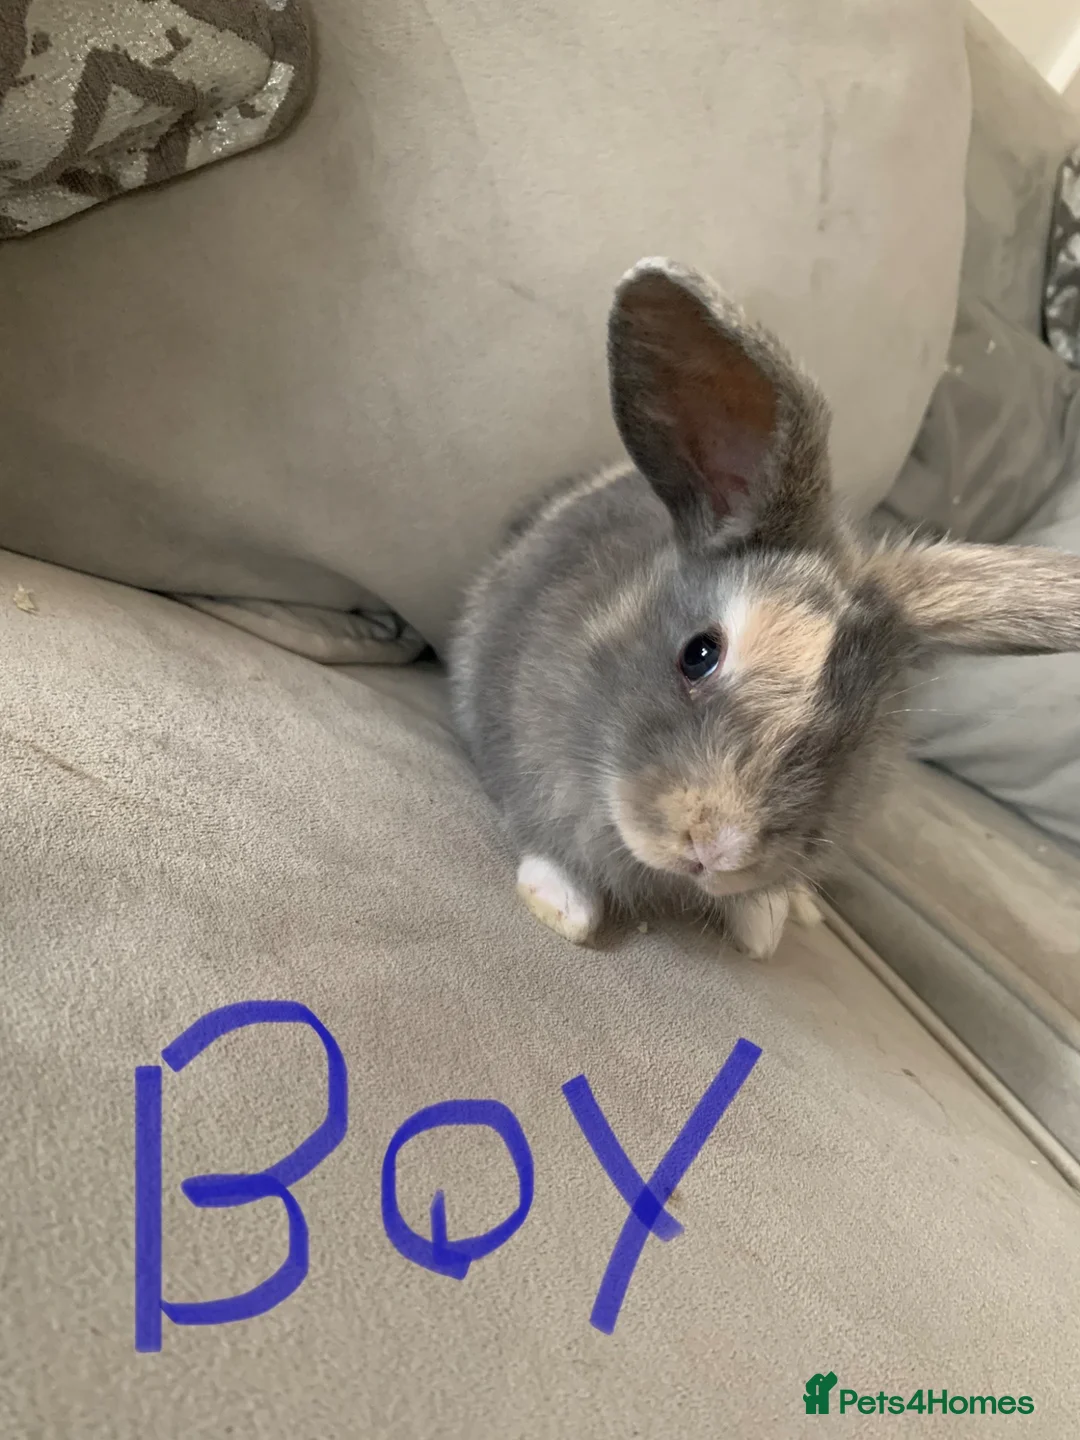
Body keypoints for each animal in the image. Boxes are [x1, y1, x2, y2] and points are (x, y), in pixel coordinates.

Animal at [449, 257, 1080, 959]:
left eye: (859, 732)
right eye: (698, 654)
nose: (715, 848)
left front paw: (763, 926)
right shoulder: (521, 752)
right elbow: (550, 844)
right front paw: (564, 911)